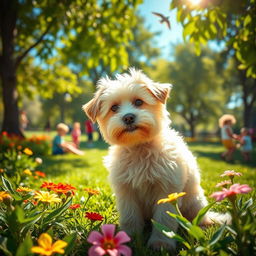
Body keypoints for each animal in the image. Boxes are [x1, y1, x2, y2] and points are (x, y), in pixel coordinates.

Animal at [82, 68, 226, 250]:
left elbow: (164, 220)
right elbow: (130, 217)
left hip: (193, 203)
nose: (128, 117)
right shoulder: (126, 191)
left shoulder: (167, 191)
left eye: (138, 102)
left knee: (198, 220)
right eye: (114, 108)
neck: (139, 148)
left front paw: (161, 243)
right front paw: (128, 238)